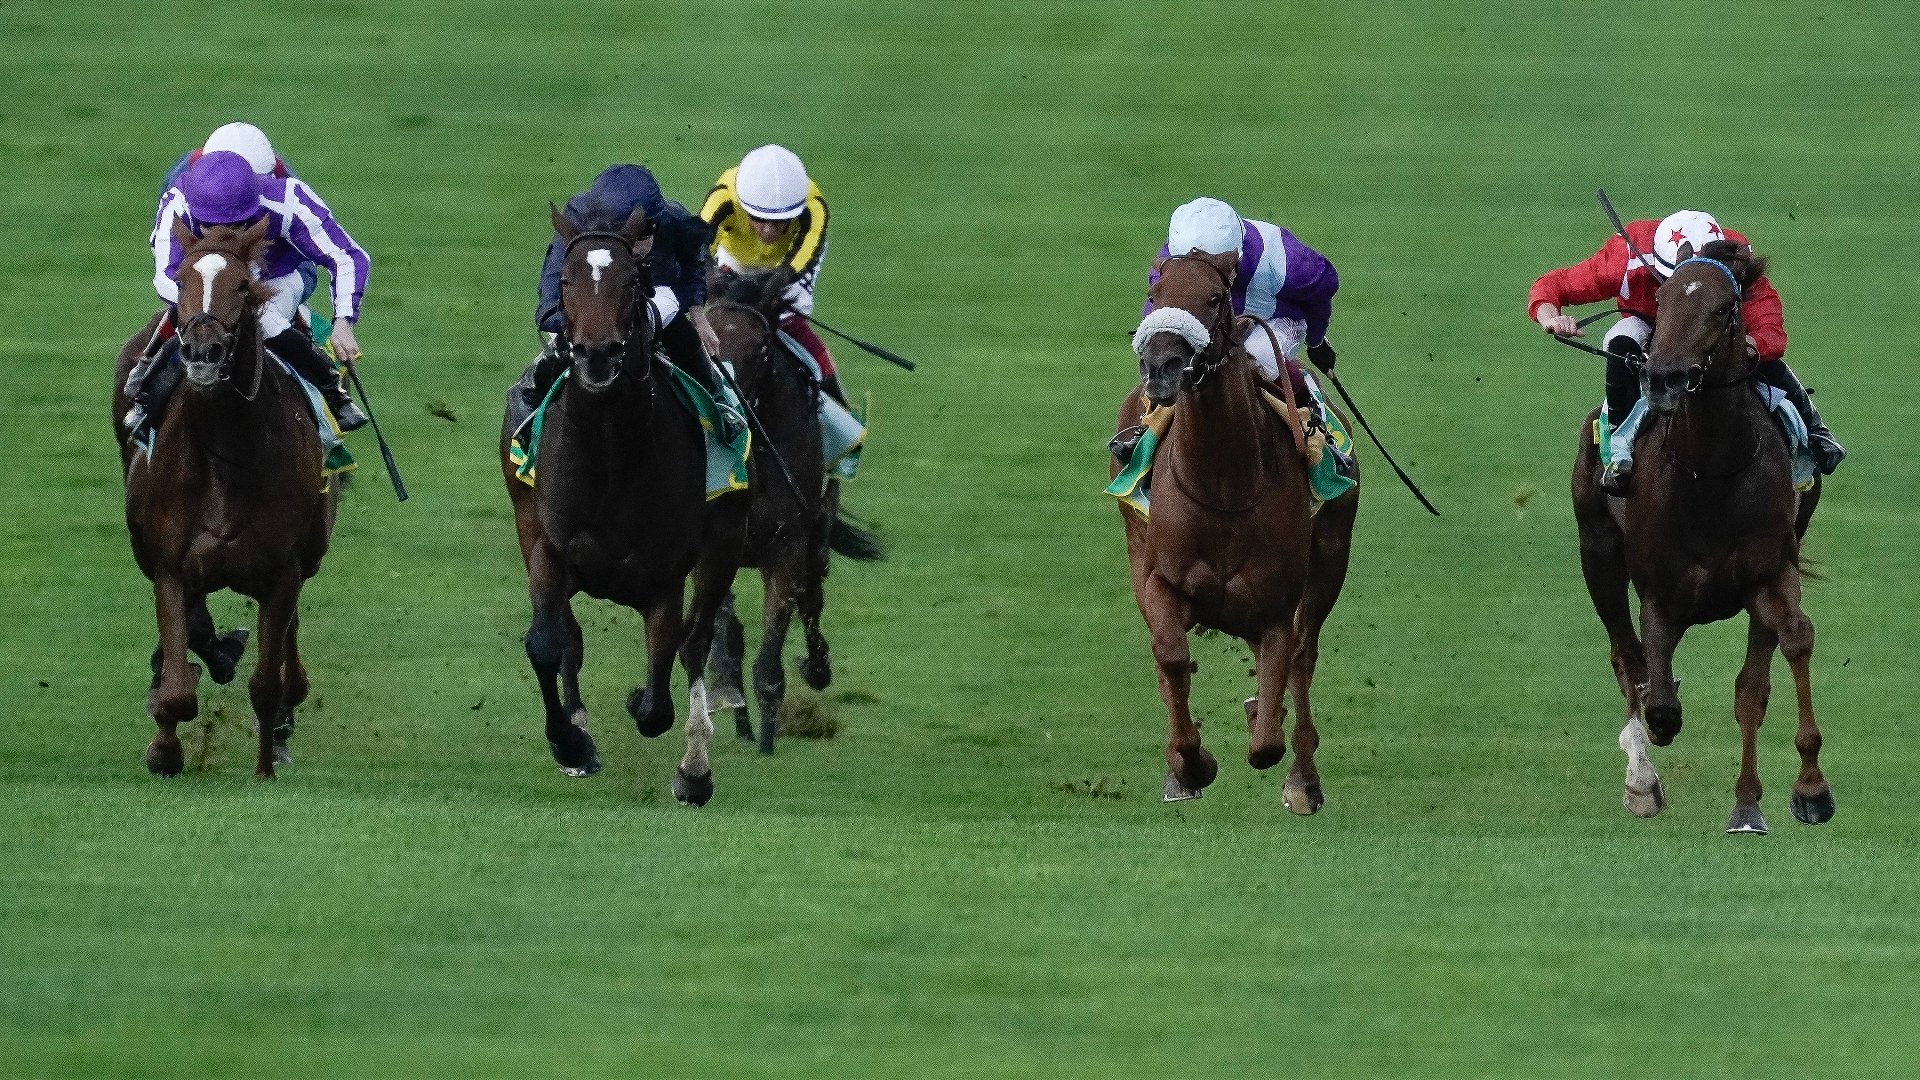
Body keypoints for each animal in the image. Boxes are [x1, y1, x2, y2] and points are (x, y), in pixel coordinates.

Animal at [114, 219, 337, 772]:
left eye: (242, 285)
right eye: (182, 280)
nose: (202, 352)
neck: (225, 457)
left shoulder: (284, 570)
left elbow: (267, 683)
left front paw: (264, 766)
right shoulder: (169, 565)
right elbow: (179, 680)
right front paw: (164, 747)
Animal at [499, 205, 744, 803]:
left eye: (633, 281)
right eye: (565, 281)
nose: (596, 353)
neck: (610, 449)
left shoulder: (665, 574)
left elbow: (660, 692)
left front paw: (643, 709)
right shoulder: (548, 545)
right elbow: (547, 643)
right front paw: (570, 743)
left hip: (724, 544)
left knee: (696, 642)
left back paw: (695, 769)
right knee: (572, 636)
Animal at [706, 270, 883, 749]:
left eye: (762, 348)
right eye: (706, 343)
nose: (729, 413)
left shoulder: (787, 546)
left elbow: (771, 656)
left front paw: (768, 740)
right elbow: (728, 636)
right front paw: (732, 703)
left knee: (813, 593)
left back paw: (816, 668)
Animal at [1121, 253, 1359, 807]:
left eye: (1214, 298)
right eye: (1155, 292)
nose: (1160, 367)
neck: (1224, 486)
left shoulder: (1274, 604)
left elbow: (1268, 740)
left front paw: (1276, 747)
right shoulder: (1162, 581)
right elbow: (1170, 656)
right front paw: (1189, 764)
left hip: (1330, 558)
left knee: (1302, 656)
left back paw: (1302, 773)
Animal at [1574, 242, 1827, 834]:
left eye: (1724, 308)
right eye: (1662, 298)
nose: (1664, 376)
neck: (1711, 471)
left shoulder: (1769, 574)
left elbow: (1780, 657)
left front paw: (1800, 791)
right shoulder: (1660, 594)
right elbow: (1659, 697)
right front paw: (1646, 768)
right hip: (1597, 553)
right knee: (1628, 659)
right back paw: (1641, 779)